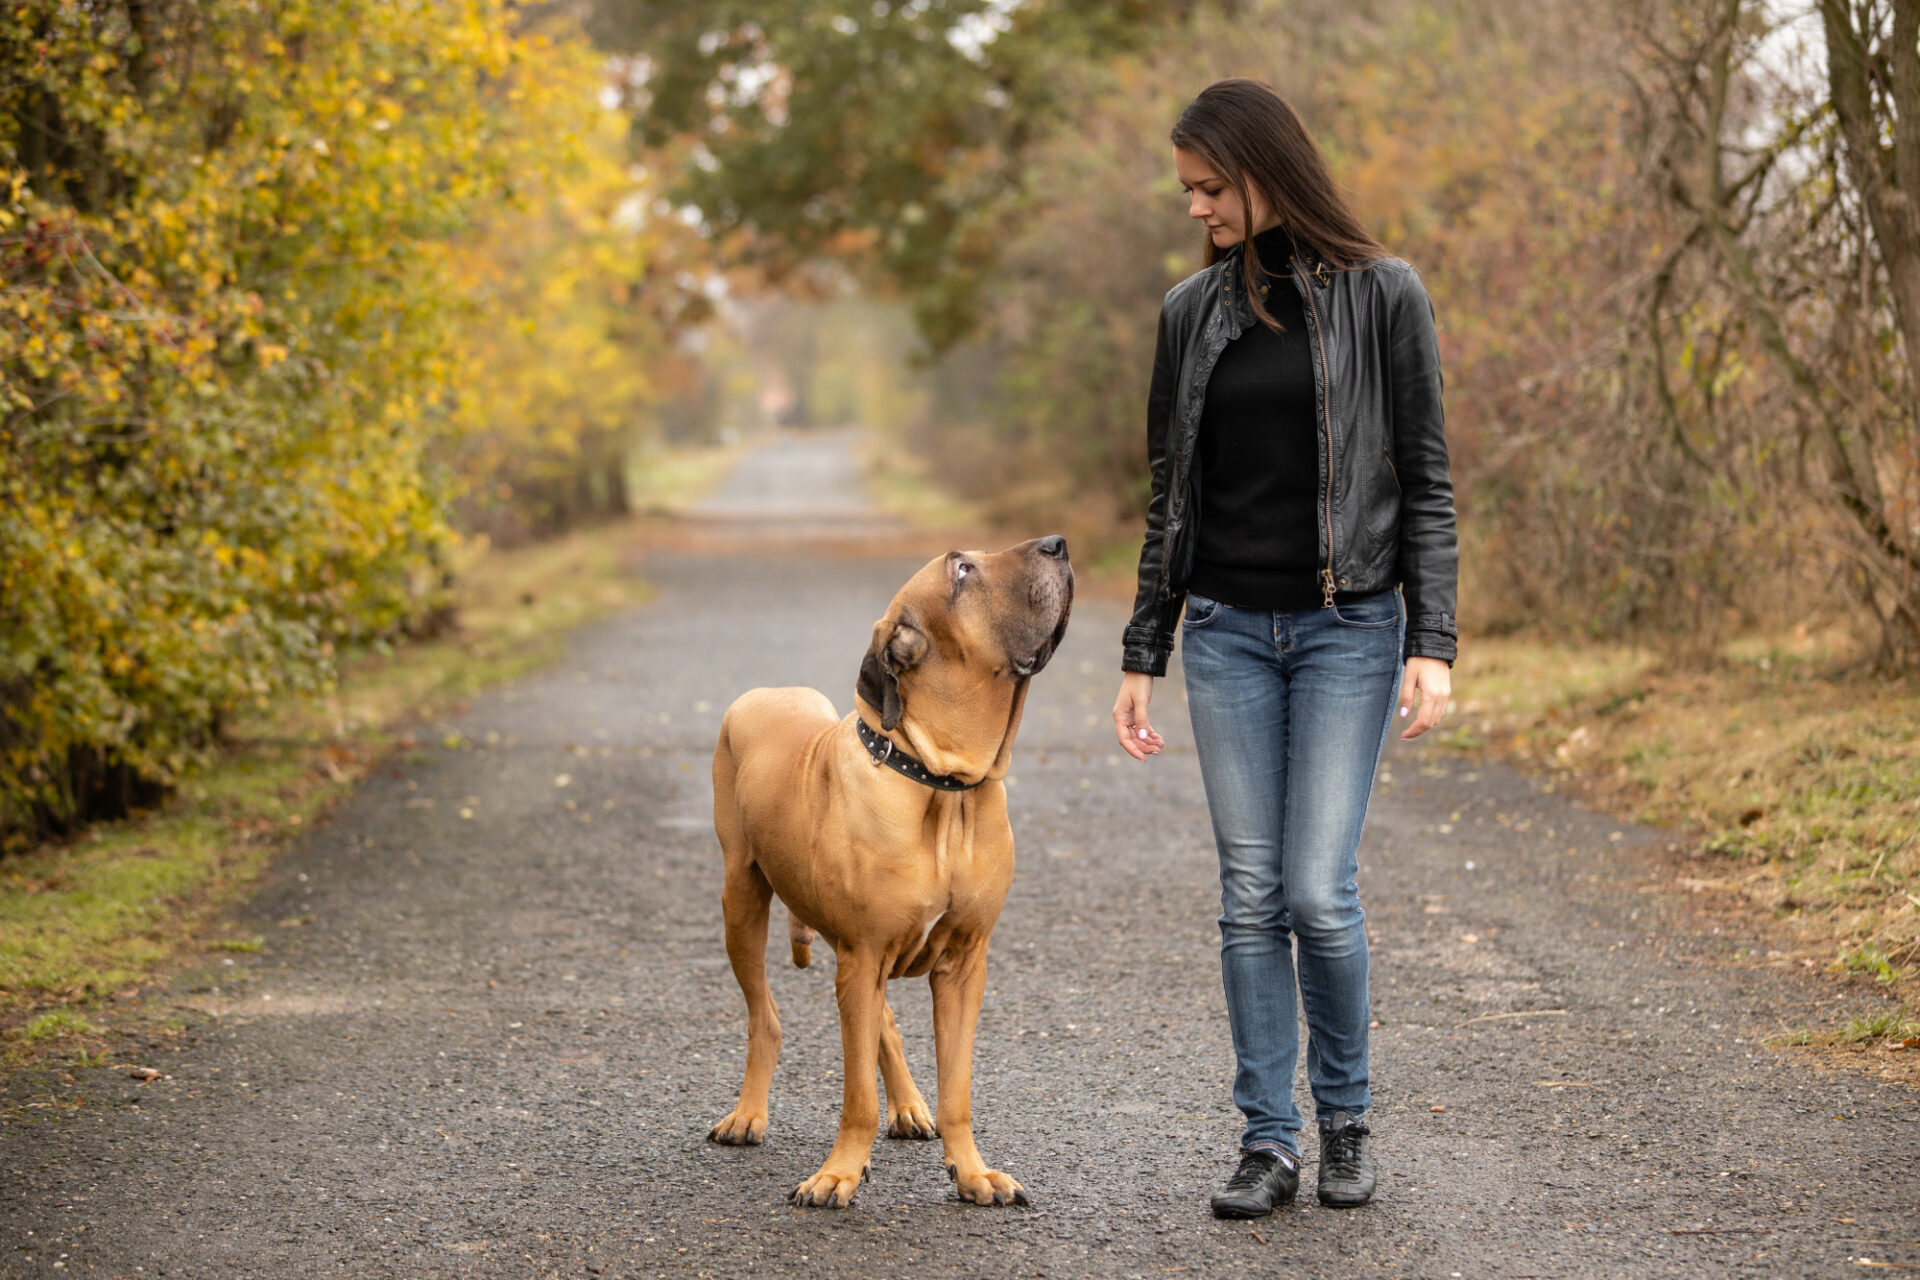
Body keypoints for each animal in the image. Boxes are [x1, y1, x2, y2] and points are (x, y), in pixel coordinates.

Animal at [706, 537, 1075, 1205]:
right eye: (962, 571)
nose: (1057, 543)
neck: (943, 785)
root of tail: (767, 690)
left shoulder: (963, 966)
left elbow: (957, 1091)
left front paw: (973, 1172)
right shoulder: (863, 954)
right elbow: (856, 1097)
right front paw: (839, 1173)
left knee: (882, 1024)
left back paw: (907, 1106)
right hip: (742, 903)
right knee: (765, 1017)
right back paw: (748, 1114)